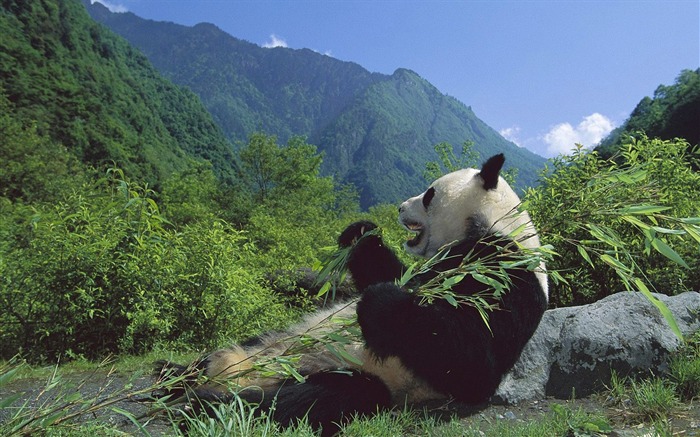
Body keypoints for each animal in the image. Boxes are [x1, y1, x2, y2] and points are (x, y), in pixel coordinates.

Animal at [161, 152, 548, 432]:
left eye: (428, 195)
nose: (399, 207)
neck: (492, 225)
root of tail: (249, 370)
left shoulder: (507, 274)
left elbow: (473, 364)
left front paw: (382, 303)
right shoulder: (431, 266)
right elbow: (391, 272)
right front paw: (360, 231)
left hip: (354, 373)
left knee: (316, 398)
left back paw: (206, 403)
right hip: (277, 336)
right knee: (230, 353)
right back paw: (174, 374)